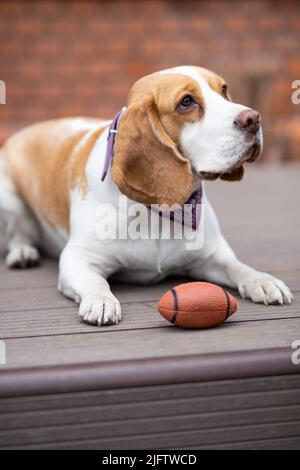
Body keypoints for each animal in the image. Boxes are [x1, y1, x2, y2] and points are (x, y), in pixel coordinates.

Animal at [0, 65, 292, 326]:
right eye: (186, 102)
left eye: (224, 90)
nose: (253, 118)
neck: (158, 210)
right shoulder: (78, 258)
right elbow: (96, 281)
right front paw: (101, 300)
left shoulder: (212, 256)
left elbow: (238, 267)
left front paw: (261, 280)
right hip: (9, 199)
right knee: (18, 235)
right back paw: (23, 252)